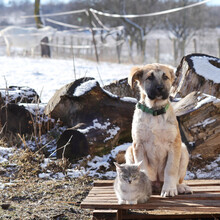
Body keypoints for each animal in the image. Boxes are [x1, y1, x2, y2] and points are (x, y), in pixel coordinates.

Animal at [126, 62, 192, 197]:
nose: (160, 88)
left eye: (165, 77)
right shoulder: (138, 145)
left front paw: (169, 189)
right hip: (129, 151)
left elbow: (171, 169)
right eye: (149, 77)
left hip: (183, 150)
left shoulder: (174, 144)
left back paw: (180, 187)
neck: (154, 111)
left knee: (178, 179)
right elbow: (142, 168)